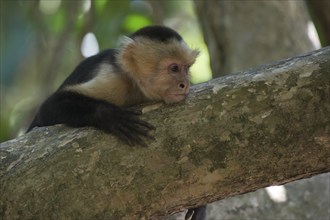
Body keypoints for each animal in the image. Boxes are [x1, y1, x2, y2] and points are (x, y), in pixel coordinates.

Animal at [27, 25, 205, 218]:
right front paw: (110, 116)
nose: (184, 84)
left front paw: (201, 205)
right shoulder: (114, 79)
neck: (137, 87)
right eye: (174, 68)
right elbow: (48, 109)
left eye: (186, 68)